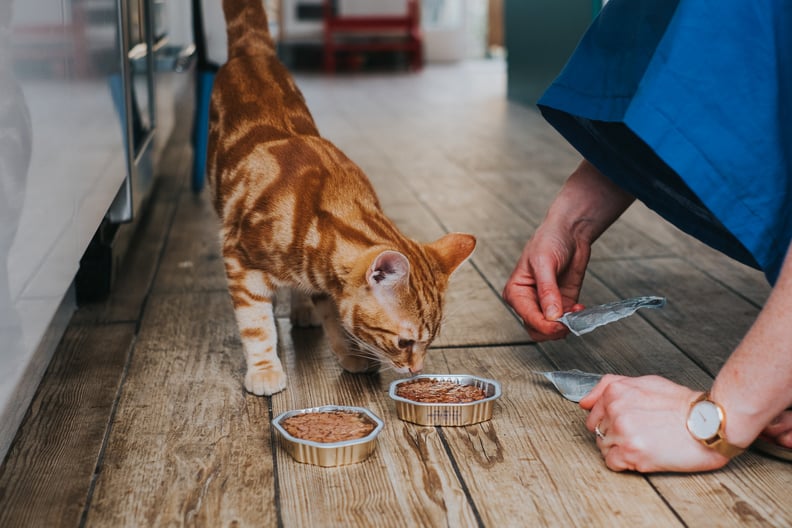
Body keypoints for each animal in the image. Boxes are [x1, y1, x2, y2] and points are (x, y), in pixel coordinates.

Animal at [207, 0, 474, 396]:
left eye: (431, 341)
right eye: (404, 342)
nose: (416, 370)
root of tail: (251, 51)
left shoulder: (325, 281)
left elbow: (335, 319)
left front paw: (349, 353)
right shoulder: (239, 260)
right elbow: (257, 325)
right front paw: (265, 369)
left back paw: (302, 310)